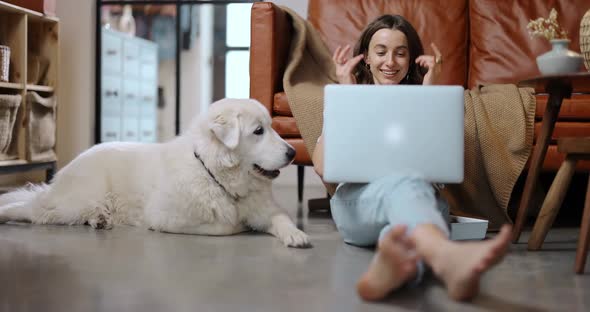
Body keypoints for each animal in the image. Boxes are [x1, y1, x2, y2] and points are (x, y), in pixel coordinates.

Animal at [0, 98, 312, 247]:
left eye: (271, 127)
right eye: (258, 131)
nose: (292, 153)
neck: (214, 174)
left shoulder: (267, 210)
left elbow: (282, 219)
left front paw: (296, 235)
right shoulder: (166, 218)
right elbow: (226, 227)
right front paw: (240, 225)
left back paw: (99, 220)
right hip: (72, 203)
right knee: (31, 209)